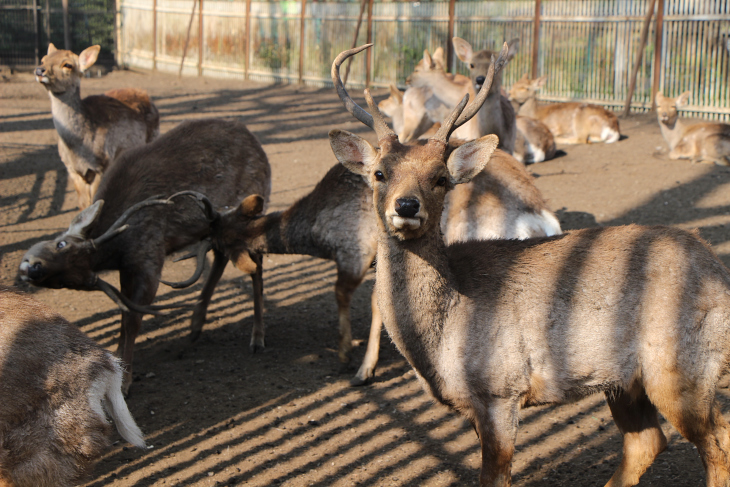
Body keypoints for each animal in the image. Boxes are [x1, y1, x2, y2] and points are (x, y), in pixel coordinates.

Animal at [19, 119, 270, 396]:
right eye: (65, 282)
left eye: (61, 244)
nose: (33, 269)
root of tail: (258, 147)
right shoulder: (127, 266)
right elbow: (124, 313)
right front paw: (118, 360)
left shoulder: (147, 256)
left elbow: (132, 319)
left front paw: (126, 380)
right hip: (218, 229)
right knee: (222, 257)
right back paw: (196, 323)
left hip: (248, 217)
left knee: (255, 264)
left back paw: (257, 337)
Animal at [35, 43, 159, 209]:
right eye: (43, 59)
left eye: (67, 65)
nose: (39, 70)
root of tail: (148, 97)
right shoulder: (71, 169)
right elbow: (83, 205)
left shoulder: (101, 165)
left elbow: (95, 201)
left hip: (154, 137)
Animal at [328, 43, 728, 487]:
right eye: (379, 173)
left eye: (440, 178)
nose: (406, 206)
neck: (441, 341)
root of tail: (718, 270)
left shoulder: (501, 389)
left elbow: (495, 477)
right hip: (627, 381)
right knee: (648, 441)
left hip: (681, 367)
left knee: (716, 443)